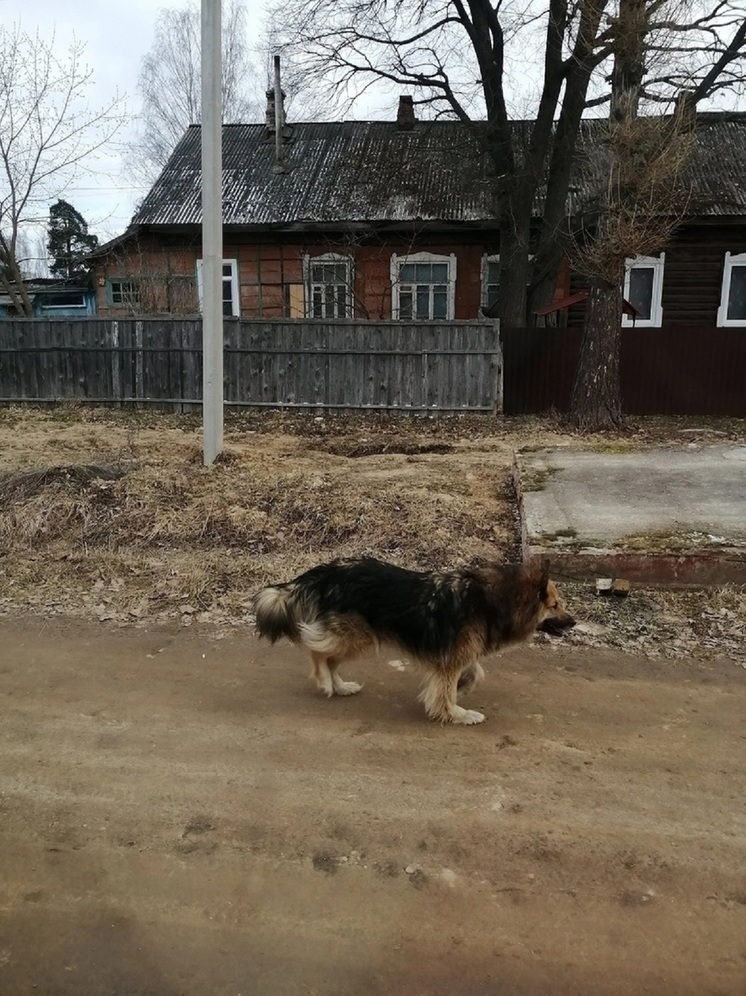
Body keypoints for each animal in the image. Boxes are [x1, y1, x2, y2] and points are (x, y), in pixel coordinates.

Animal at [253, 556, 572, 728]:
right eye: (555, 606)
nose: (573, 622)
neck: (492, 601)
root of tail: (325, 572)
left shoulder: (459, 653)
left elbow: (474, 673)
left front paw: (462, 688)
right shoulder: (451, 659)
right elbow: (447, 691)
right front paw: (457, 713)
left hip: (356, 638)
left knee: (328, 656)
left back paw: (341, 686)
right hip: (358, 637)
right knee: (317, 650)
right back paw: (324, 681)